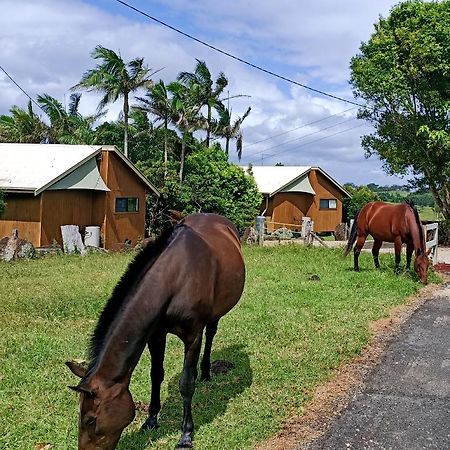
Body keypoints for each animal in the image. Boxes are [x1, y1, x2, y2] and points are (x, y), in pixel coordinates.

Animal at [65, 214, 244, 450]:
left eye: (91, 420)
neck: (175, 278)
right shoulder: (156, 335)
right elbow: (156, 375)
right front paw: (151, 420)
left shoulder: (192, 337)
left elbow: (186, 383)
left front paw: (186, 434)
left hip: (215, 316)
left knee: (210, 335)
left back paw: (205, 372)